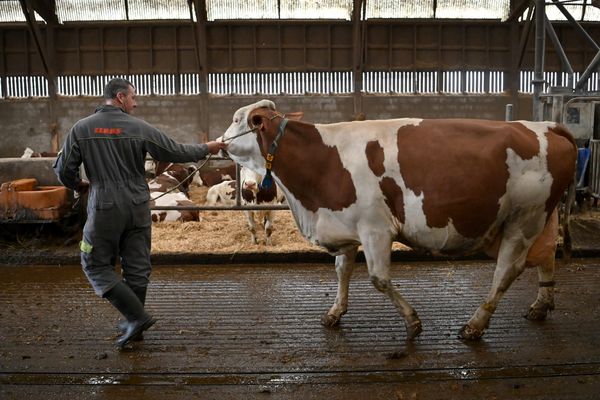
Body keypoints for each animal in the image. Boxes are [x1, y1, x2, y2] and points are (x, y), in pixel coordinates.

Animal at [223, 99, 580, 340]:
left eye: (237, 119)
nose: (219, 143)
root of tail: (546, 126)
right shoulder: (346, 224)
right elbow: (342, 271)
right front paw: (335, 313)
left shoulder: (375, 229)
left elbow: (379, 279)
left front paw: (412, 322)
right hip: (539, 217)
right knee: (547, 254)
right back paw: (541, 305)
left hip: (524, 218)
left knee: (506, 271)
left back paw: (475, 325)